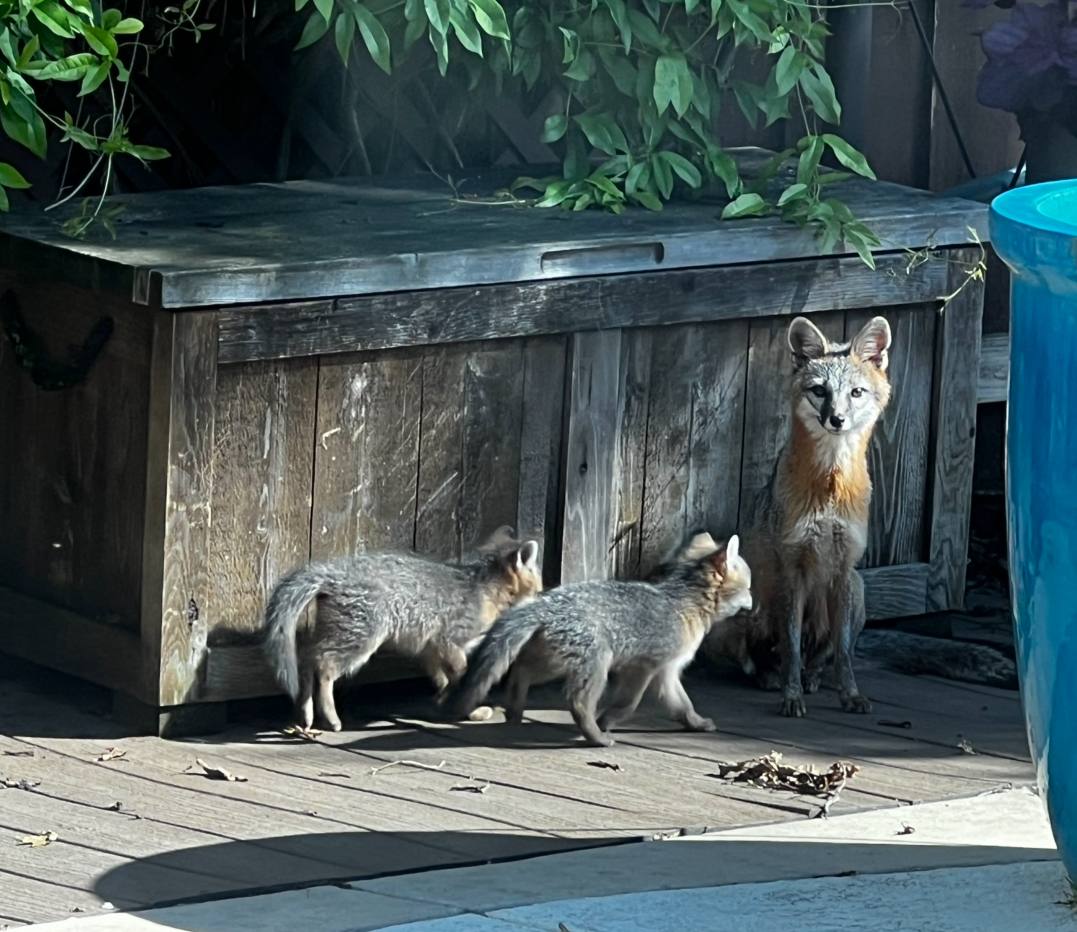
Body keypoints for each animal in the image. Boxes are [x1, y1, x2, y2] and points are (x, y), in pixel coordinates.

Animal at [262, 526, 543, 731]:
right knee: (323, 664)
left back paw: (306, 714)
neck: (485, 590)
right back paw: (331, 717)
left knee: (306, 659)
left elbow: (445, 680)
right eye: (539, 589)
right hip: (362, 641)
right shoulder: (449, 641)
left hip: (336, 635)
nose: (545, 596)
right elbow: (462, 677)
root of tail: (334, 570)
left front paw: (446, 704)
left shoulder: (429, 649)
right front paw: (464, 707)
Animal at [452, 533, 753, 747]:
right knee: (577, 703)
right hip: (597, 664)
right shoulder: (642, 668)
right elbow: (628, 704)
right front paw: (608, 720)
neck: (685, 603)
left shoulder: (666, 671)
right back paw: (596, 736)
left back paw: (515, 711)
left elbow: (683, 705)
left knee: (520, 671)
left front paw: (696, 723)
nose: (755, 604)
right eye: (749, 588)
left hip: (555, 663)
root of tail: (545, 604)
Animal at [699, 315, 892, 718]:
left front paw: (850, 695)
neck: (830, 492)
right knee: (756, 661)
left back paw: (813, 678)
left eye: (856, 393)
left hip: (858, 590)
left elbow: (844, 652)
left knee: (820, 657)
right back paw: (772, 678)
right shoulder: (794, 565)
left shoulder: (843, 567)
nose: (836, 419)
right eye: (820, 391)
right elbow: (790, 644)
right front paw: (791, 696)